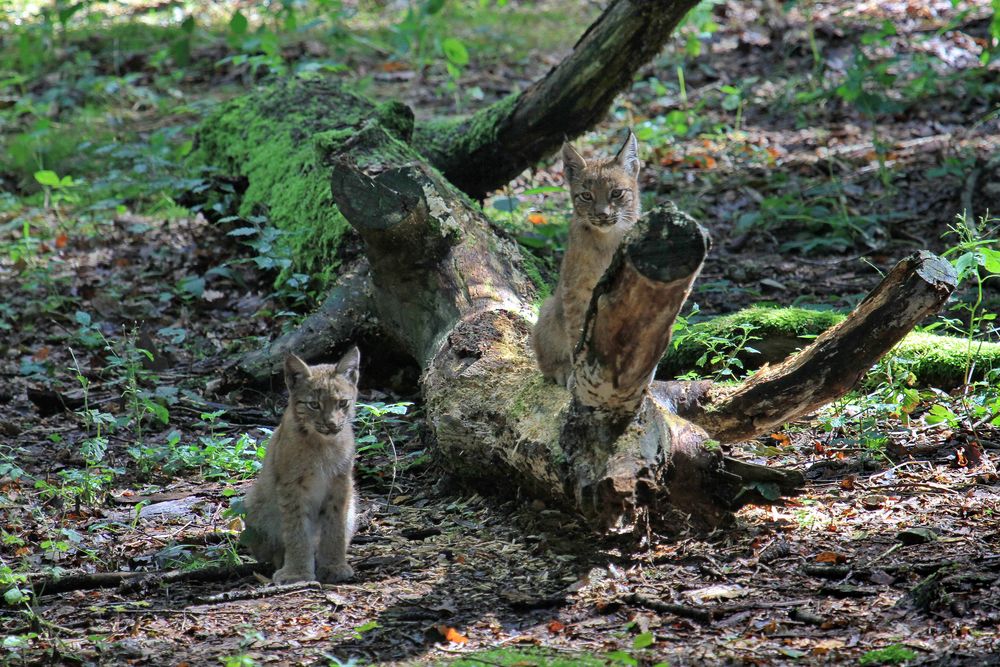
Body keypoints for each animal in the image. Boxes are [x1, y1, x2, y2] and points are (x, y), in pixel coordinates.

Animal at [242, 350, 360, 584]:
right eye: (314, 405)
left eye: (342, 403)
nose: (332, 425)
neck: (323, 443)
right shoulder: (291, 484)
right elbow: (296, 529)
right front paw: (297, 573)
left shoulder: (341, 482)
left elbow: (335, 526)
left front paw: (334, 565)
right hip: (254, 502)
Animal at [532, 130, 640, 386]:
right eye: (587, 196)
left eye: (616, 193)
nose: (602, 215)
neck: (608, 237)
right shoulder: (576, 288)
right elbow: (576, 330)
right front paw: (576, 371)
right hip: (549, 306)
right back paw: (561, 369)